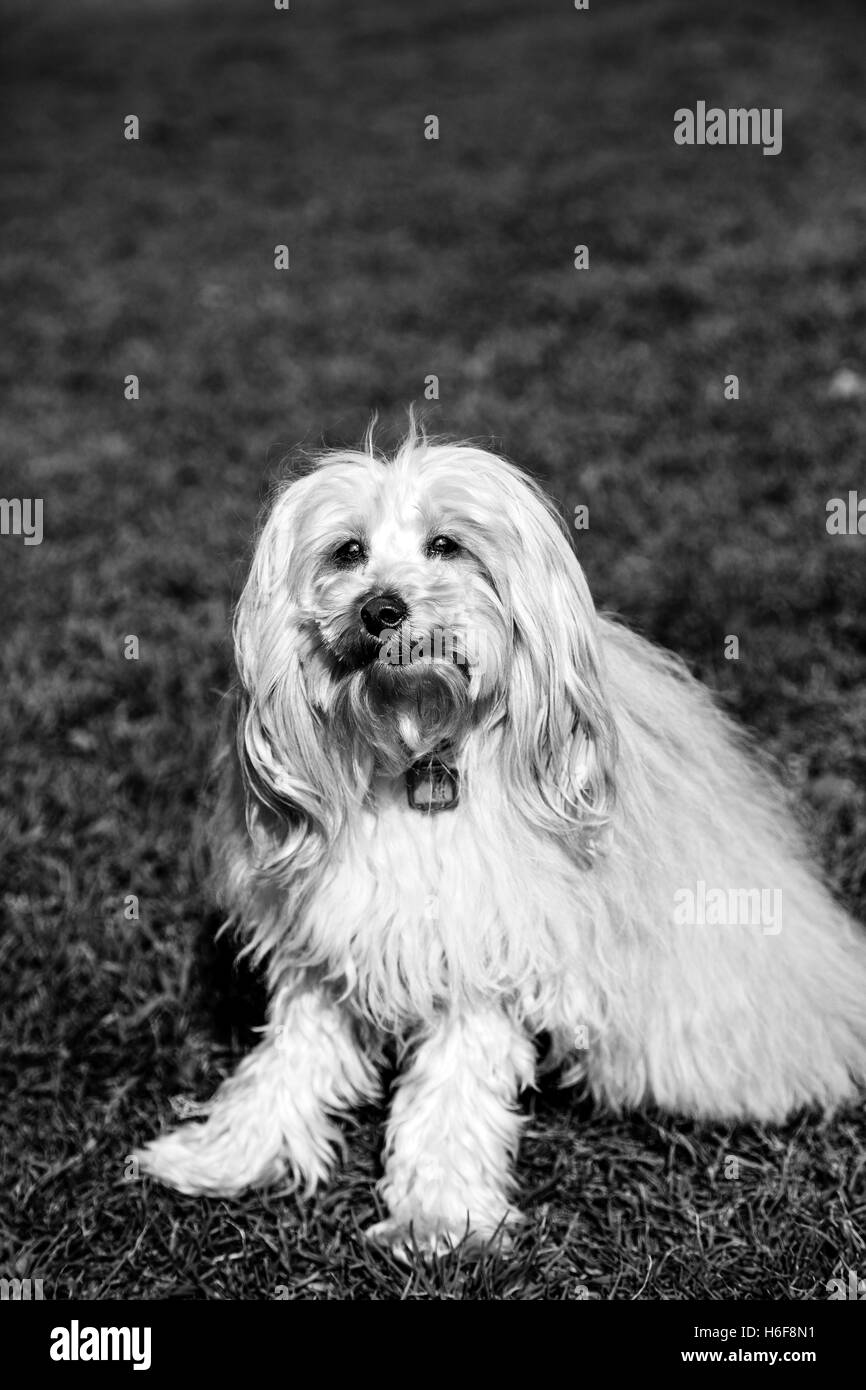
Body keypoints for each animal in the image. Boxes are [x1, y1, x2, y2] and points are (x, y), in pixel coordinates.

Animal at [135, 428, 866, 1256]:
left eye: (445, 545)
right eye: (348, 551)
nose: (380, 608)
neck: (413, 748)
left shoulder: (485, 950)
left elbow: (452, 1093)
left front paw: (438, 1217)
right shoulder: (326, 934)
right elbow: (289, 1059)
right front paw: (229, 1155)